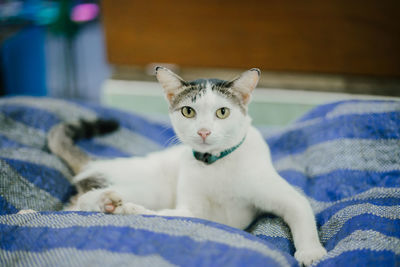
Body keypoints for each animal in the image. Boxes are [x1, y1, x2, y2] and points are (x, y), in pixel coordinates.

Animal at [47, 67, 328, 266]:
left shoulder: (285, 195)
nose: (203, 131)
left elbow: (302, 211)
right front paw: (128, 210)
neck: (216, 164)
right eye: (188, 112)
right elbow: (173, 215)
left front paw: (312, 252)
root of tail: (96, 162)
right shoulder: (190, 208)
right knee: (76, 204)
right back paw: (104, 202)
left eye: (222, 112)